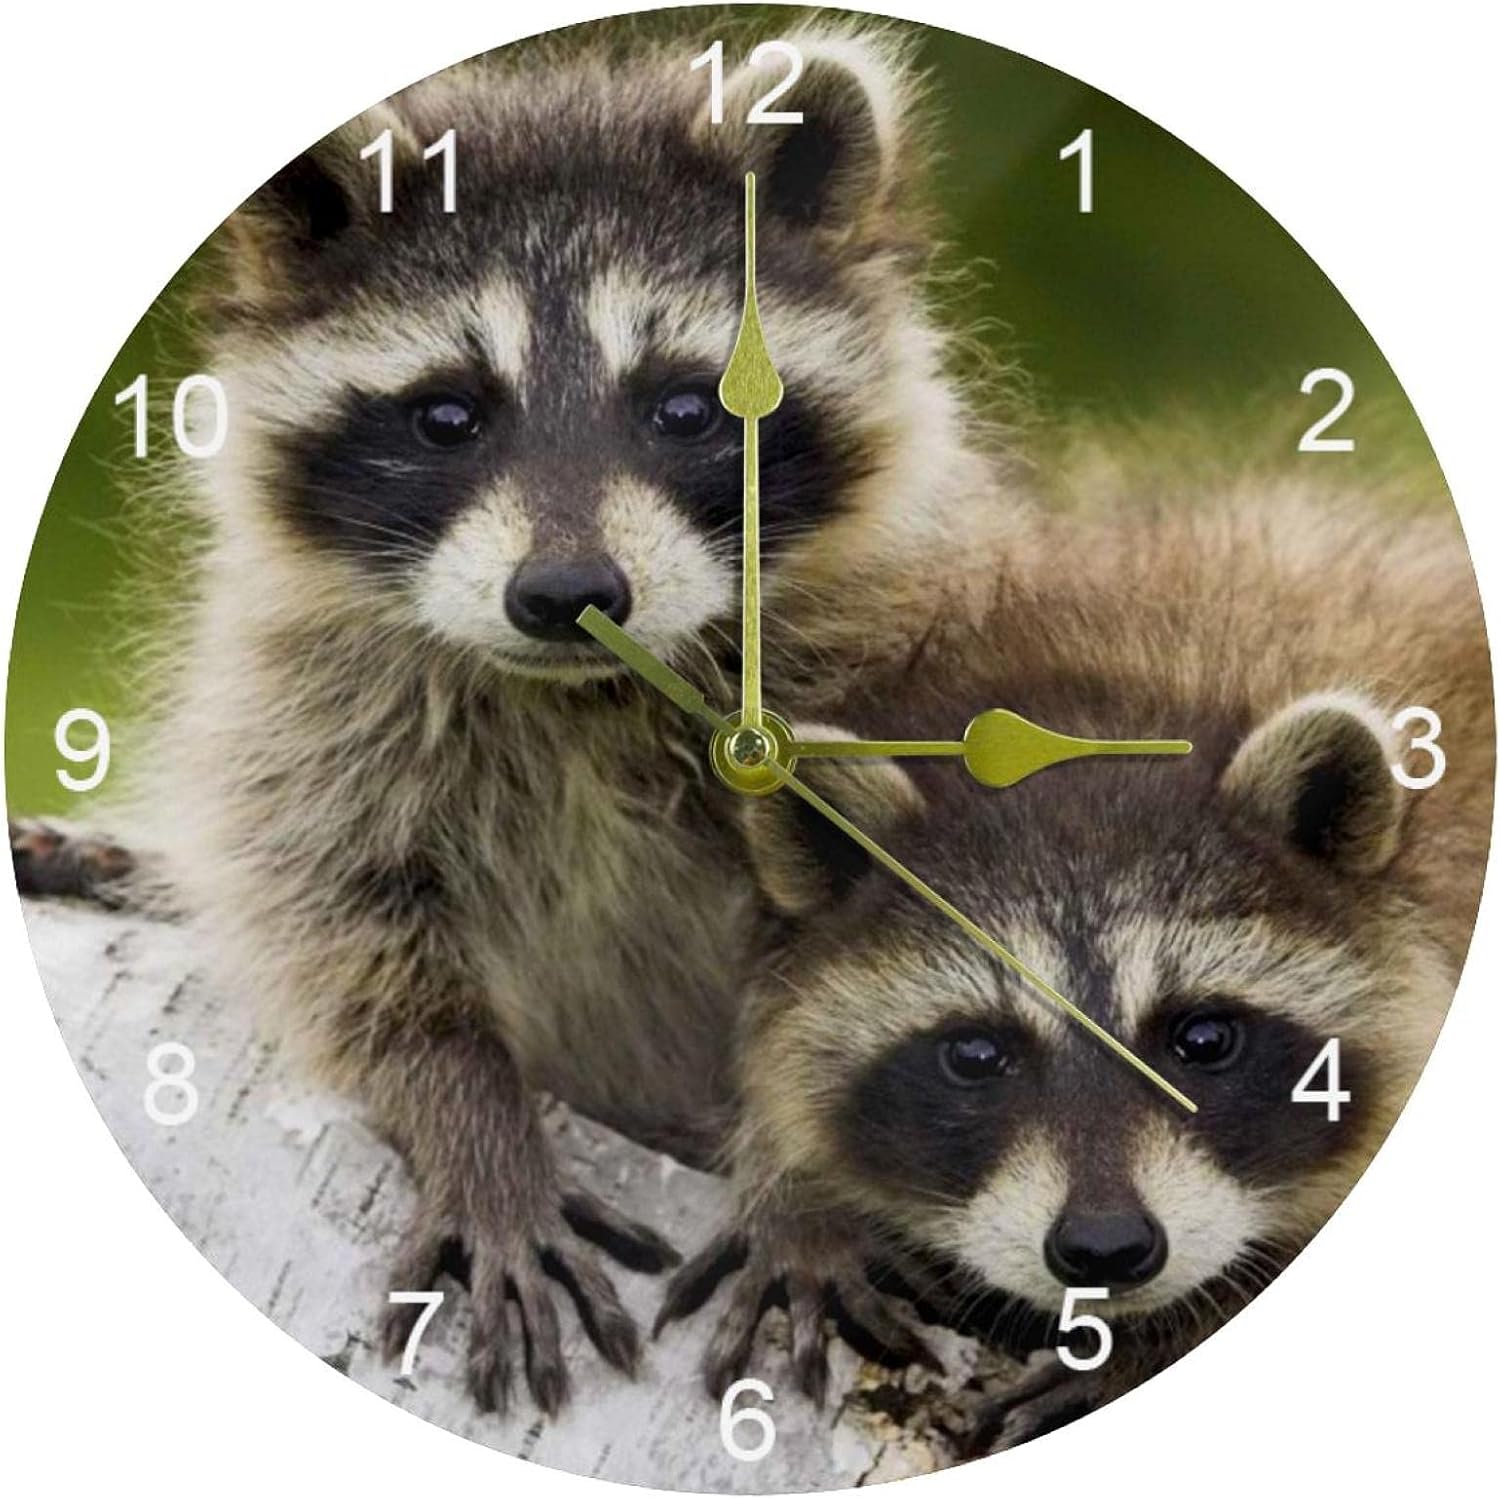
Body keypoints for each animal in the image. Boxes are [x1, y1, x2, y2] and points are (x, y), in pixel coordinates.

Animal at [12, 21, 1027, 1415]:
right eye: (448, 413)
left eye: (686, 405)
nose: (567, 593)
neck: (580, 693)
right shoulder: (308, 698)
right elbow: (339, 924)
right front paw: (471, 1118)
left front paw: (802, 1190)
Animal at [660, 489, 1491, 1447]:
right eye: (976, 1053)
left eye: (1205, 1037)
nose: (1105, 1248)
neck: (1115, 697)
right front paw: (796, 1193)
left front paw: (1169, 1333)